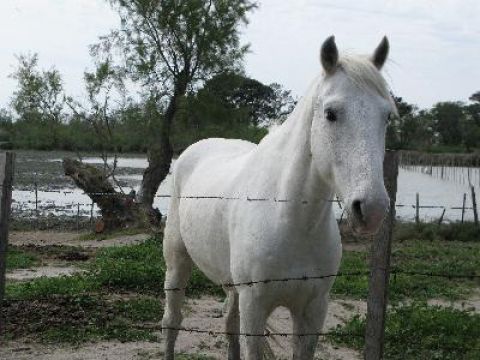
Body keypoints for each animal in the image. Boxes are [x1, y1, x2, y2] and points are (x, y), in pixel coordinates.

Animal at [163, 35, 396, 358]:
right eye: (331, 114)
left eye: (386, 116)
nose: (372, 208)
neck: (290, 218)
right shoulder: (254, 306)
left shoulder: (313, 310)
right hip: (177, 264)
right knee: (172, 321)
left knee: (228, 324)